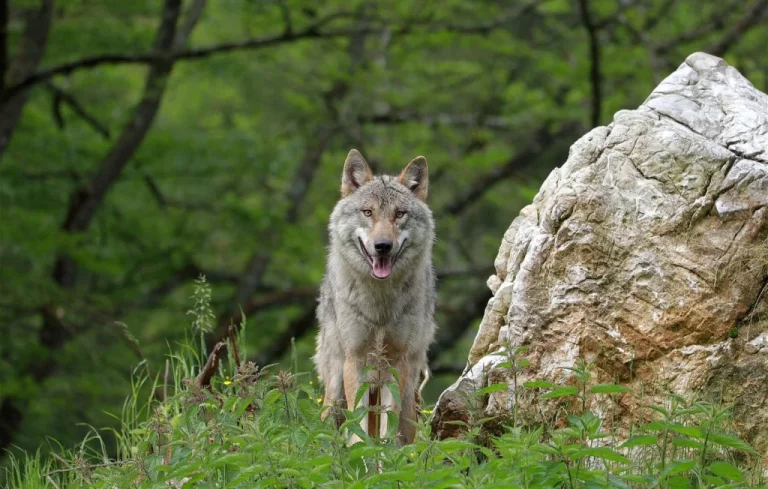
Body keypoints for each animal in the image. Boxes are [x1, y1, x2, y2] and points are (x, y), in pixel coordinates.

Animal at [313, 149, 436, 446]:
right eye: (367, 212)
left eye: (399, 214)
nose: (382, 246)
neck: (380, 304)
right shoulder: (355, 361)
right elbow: (357, 428)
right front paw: (361, 457)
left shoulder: (396, 363)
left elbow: (387, 428)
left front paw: (384, 458)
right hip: (335, 386)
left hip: (409, 391)